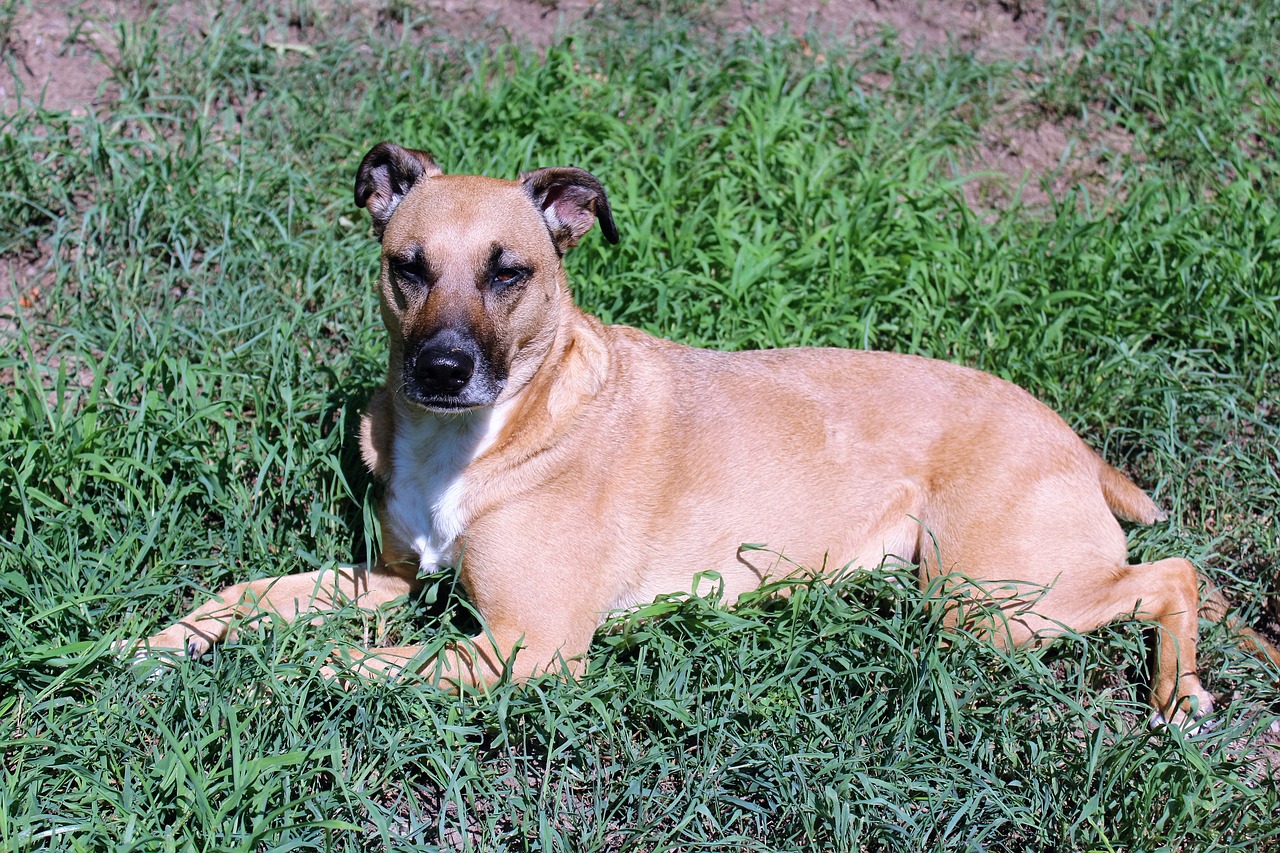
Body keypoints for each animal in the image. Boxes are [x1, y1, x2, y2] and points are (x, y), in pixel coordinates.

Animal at [135, 140, 1274, 722]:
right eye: (406, 266)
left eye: (510, 271)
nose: (442, 370)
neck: (487, 436)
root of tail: (1070, 437)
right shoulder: (392, 577)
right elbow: (256, 596)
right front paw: (161, 642)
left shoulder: (527, 646)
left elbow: (342, 664)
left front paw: (252, 678)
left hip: (988, 602)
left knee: (1170, 574)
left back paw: (1177, 689)